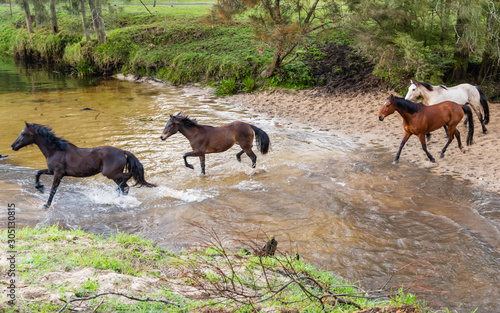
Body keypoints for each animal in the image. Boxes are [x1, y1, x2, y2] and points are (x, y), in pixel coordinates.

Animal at [11, 122, 156, 207]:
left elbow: (53, 190)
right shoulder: (52, 171)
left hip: (110, 173)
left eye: (23, 134)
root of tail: (122, 151)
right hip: (114, 175)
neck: (56, 150)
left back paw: (115, 194)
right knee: (125, 186)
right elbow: (37, 172)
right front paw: (39, 187)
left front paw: (46, 204)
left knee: (128, 177)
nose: (13, 146)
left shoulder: (58, 174)